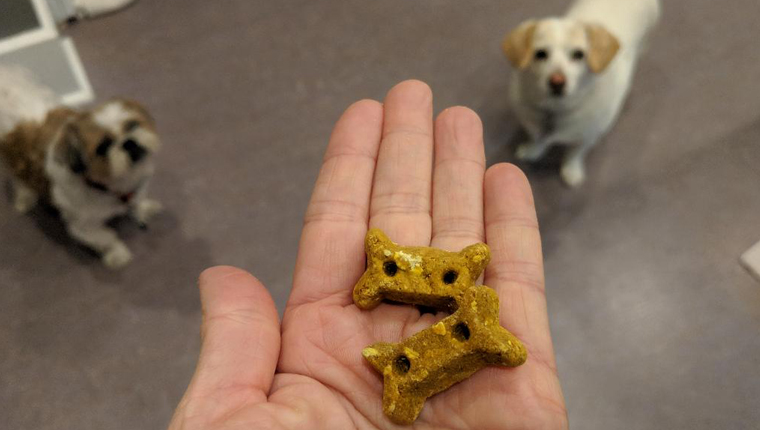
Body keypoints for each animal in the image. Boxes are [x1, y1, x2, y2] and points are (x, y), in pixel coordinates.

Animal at [0, 66, 162, 268]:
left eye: (132, 125)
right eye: (103, 147)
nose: (128, 143)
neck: (110, 186)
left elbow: (137, 203)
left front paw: (143, 209)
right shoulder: (83, 226)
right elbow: (107, 237)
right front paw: (117, 254)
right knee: (19, 180)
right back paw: (25, 198)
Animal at [502, 0, 656, 186]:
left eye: (578, 54)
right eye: (540, 54)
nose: (557, 82)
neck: (556, 110)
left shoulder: (587, 137)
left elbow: (574, 154)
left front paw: (571, 171)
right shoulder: (534, 127)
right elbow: (537, 140)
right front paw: (533, 151)